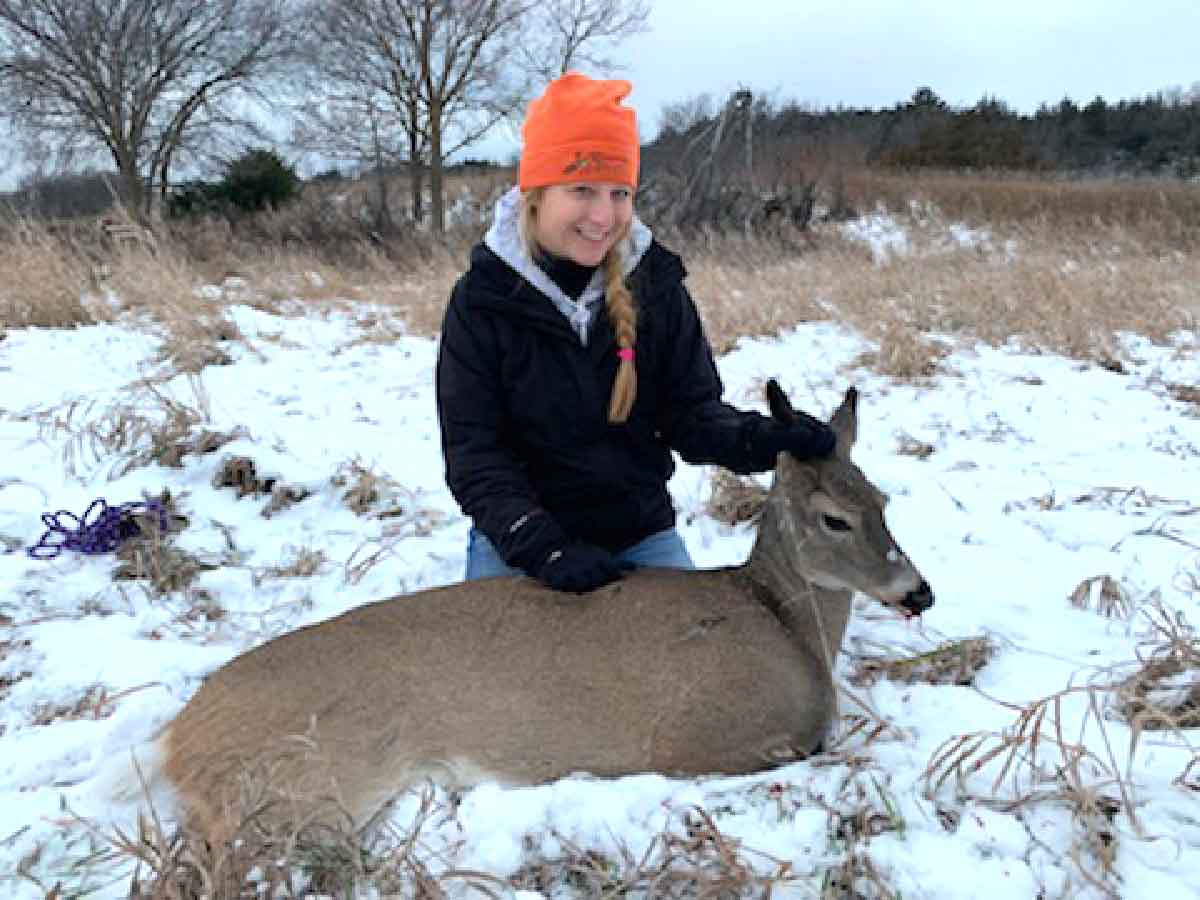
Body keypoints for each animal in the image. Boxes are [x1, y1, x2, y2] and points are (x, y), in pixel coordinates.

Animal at [128, 382, 933, 846]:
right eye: (834, 518)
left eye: (883, 499)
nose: (918, 592)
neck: (782, 622)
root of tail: (174, 741)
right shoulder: (704, 740)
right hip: (306, 790)